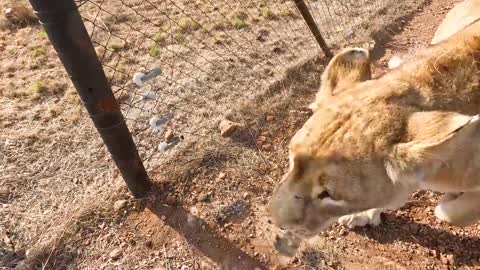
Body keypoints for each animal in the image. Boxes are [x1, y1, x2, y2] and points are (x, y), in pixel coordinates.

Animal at [268, 0, 480, 240]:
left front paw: (448, 199)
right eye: (292, 160)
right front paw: (363, 214)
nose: (274, 220)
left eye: (328, 194)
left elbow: (453, 213)